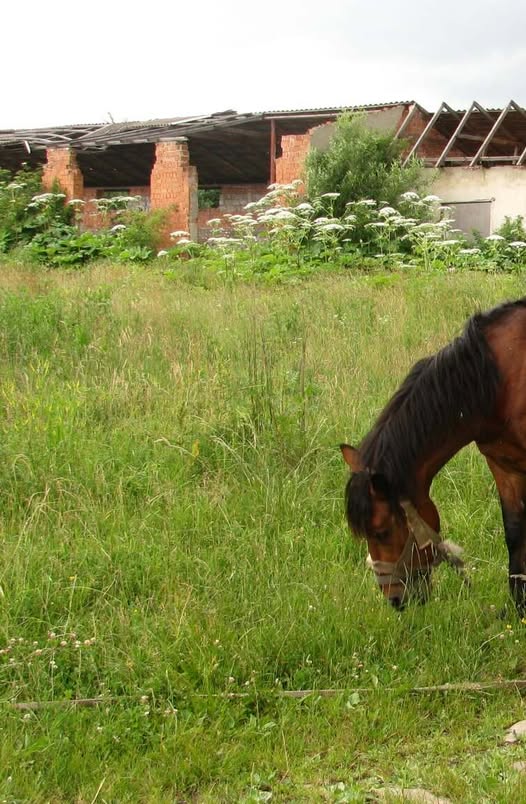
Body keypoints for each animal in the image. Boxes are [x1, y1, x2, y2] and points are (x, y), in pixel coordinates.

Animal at [342, 298, 526, 612]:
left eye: (381, 532)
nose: (395, 599)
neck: (501, 380)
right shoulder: (504, 465)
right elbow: (514, 533)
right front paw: (518, 606)